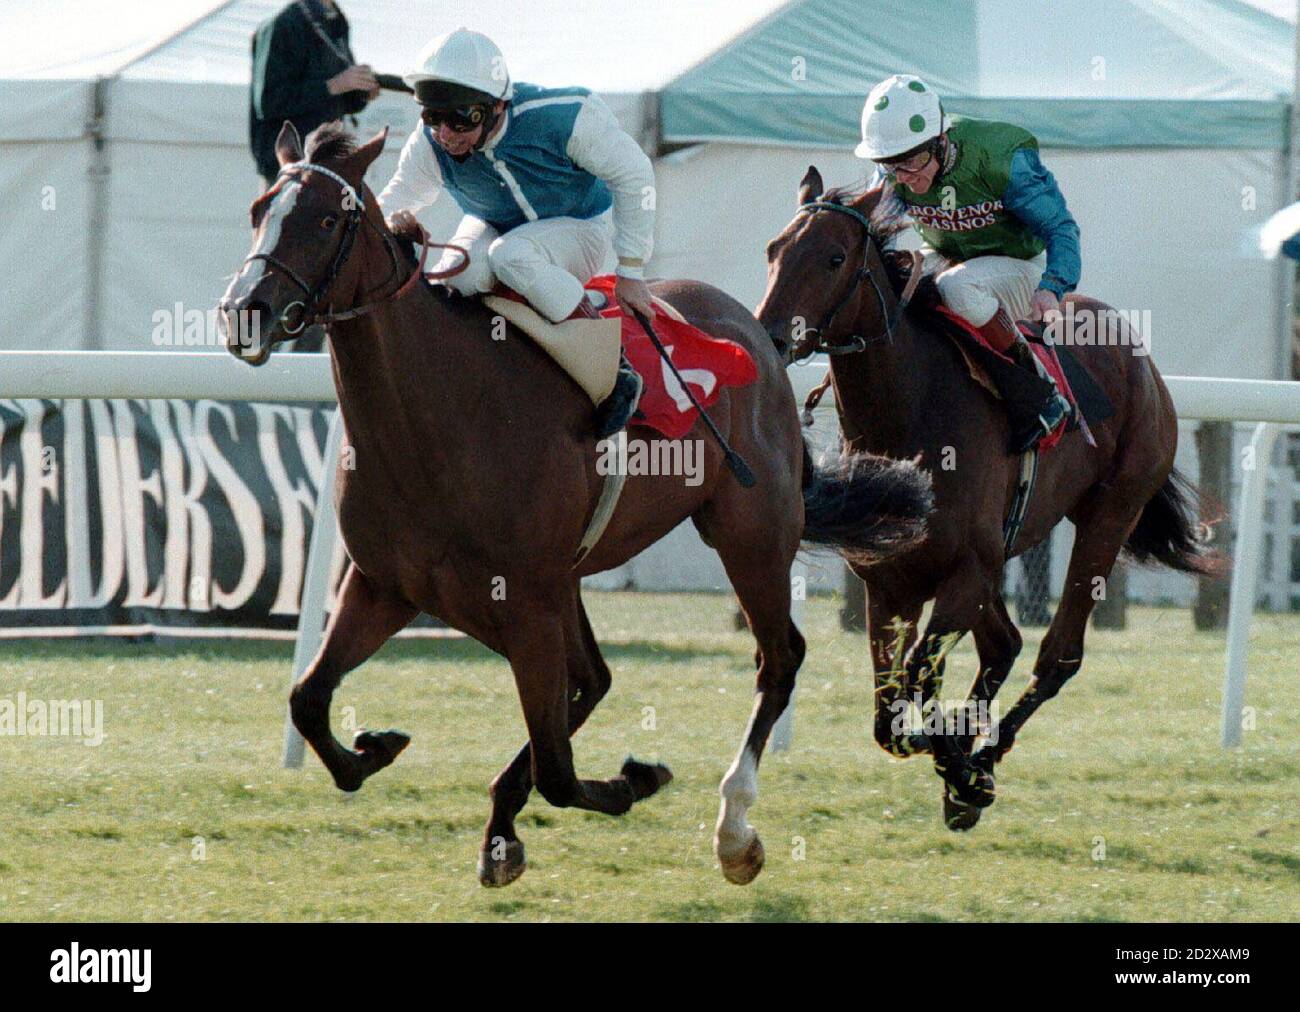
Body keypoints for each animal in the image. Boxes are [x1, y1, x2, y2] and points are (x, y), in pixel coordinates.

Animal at [218, 126, 930, 884]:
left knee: (778, 659)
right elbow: (309, 700)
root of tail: (756, 334)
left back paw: (735, 829)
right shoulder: (389, 586)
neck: (437, 411)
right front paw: (376, 747)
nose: (245, 312)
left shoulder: (524, 598)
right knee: (596, 678)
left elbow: (559, 770)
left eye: (326, 219)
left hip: (751, 534)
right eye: (259, 209)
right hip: (575, 575)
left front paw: (631, 782)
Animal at [759, 167, 1211, 827]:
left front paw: (964, 765)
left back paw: (985, 758)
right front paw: (954, 757)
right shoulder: (890, 584)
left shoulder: (966, 572)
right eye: (773, 250)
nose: (768, 338)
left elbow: (919, 686)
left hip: (1113, 510)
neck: (912, 410)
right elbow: (892, 716)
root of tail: (1137, 352)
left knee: (1056, 655)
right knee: (1004, 644)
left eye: (835, 257)